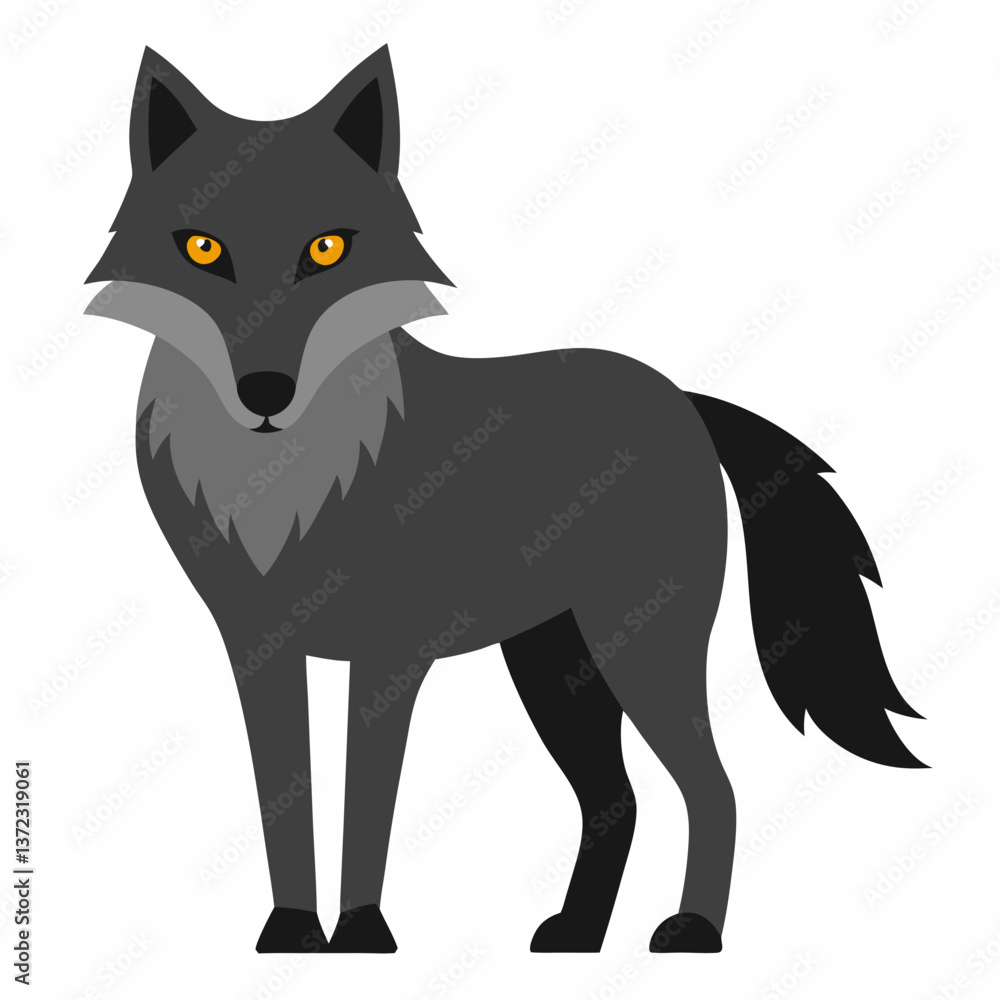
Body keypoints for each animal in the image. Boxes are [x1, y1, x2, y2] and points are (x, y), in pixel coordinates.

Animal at [86, 45, 925, 955]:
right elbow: (285, 800)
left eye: (328, 248)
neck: (290, 490)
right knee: (616, 800)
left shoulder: (389, 658)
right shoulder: (258, 652)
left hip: (638, 652)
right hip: (556, 666)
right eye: (203, 248)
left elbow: (367, 803)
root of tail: (682, 397)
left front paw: (363, 934)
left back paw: (693, 929)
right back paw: (578, 933)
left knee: (714, 787)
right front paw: (292, 932)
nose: (266, 392)